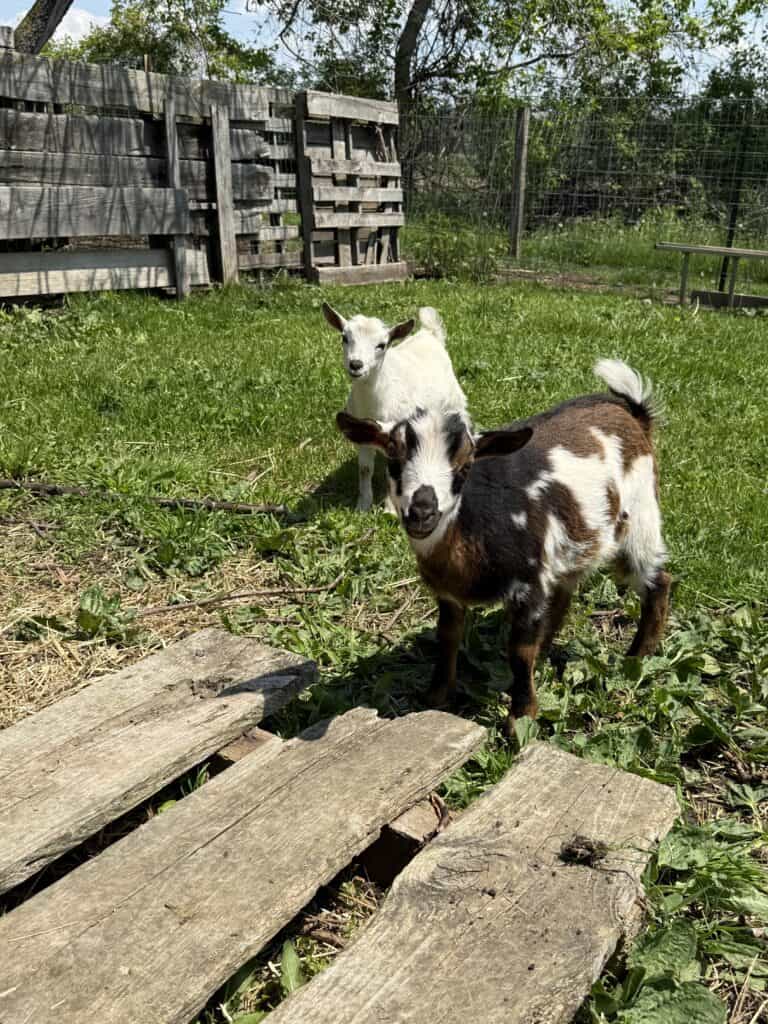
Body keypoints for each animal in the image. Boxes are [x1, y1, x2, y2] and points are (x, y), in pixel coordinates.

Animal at [323, 302, 468, 512]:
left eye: (381, 345)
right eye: (344, 338)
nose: (356, 364)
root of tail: (429, 333)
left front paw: (389, 510)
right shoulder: (362, 432)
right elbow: (365, 469)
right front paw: (363, 506)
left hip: (455, 400)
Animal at [337, 359, 671, 733]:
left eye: (465, 466)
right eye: (393, 459)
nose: (422, 511)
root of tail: (633, 414)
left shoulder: (528, 584)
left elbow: (519, 652)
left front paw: (520, 718)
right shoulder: (450, 594)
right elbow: (447, 638)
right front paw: (436, 696)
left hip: (640, 518)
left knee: (658, 582)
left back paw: (636, 658)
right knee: (564, 593)